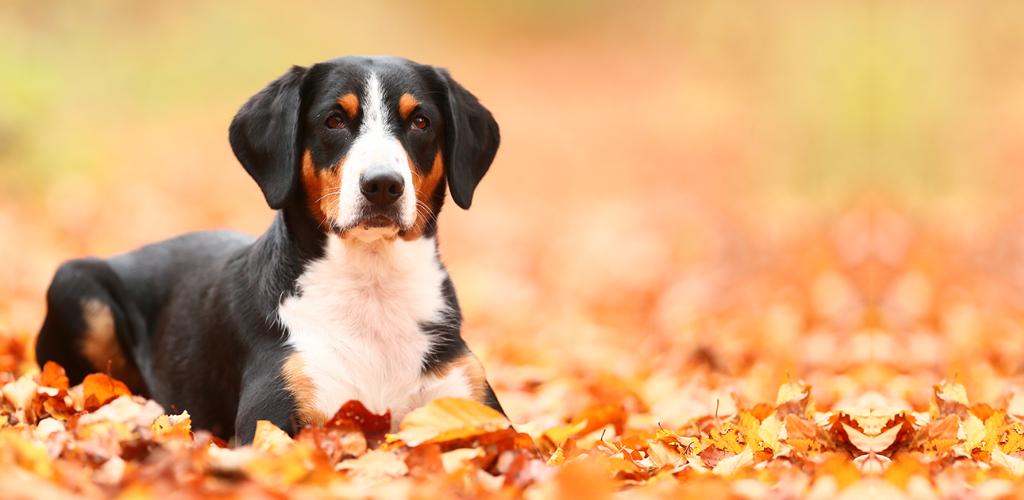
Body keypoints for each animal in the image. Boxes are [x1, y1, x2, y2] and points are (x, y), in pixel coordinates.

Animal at [35, 56, 503, 442]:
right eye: (334, 120)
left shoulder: (474, 403)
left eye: (421, 122)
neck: (373, 289)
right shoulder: (271, 417)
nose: (383, 185)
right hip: (78, 286)